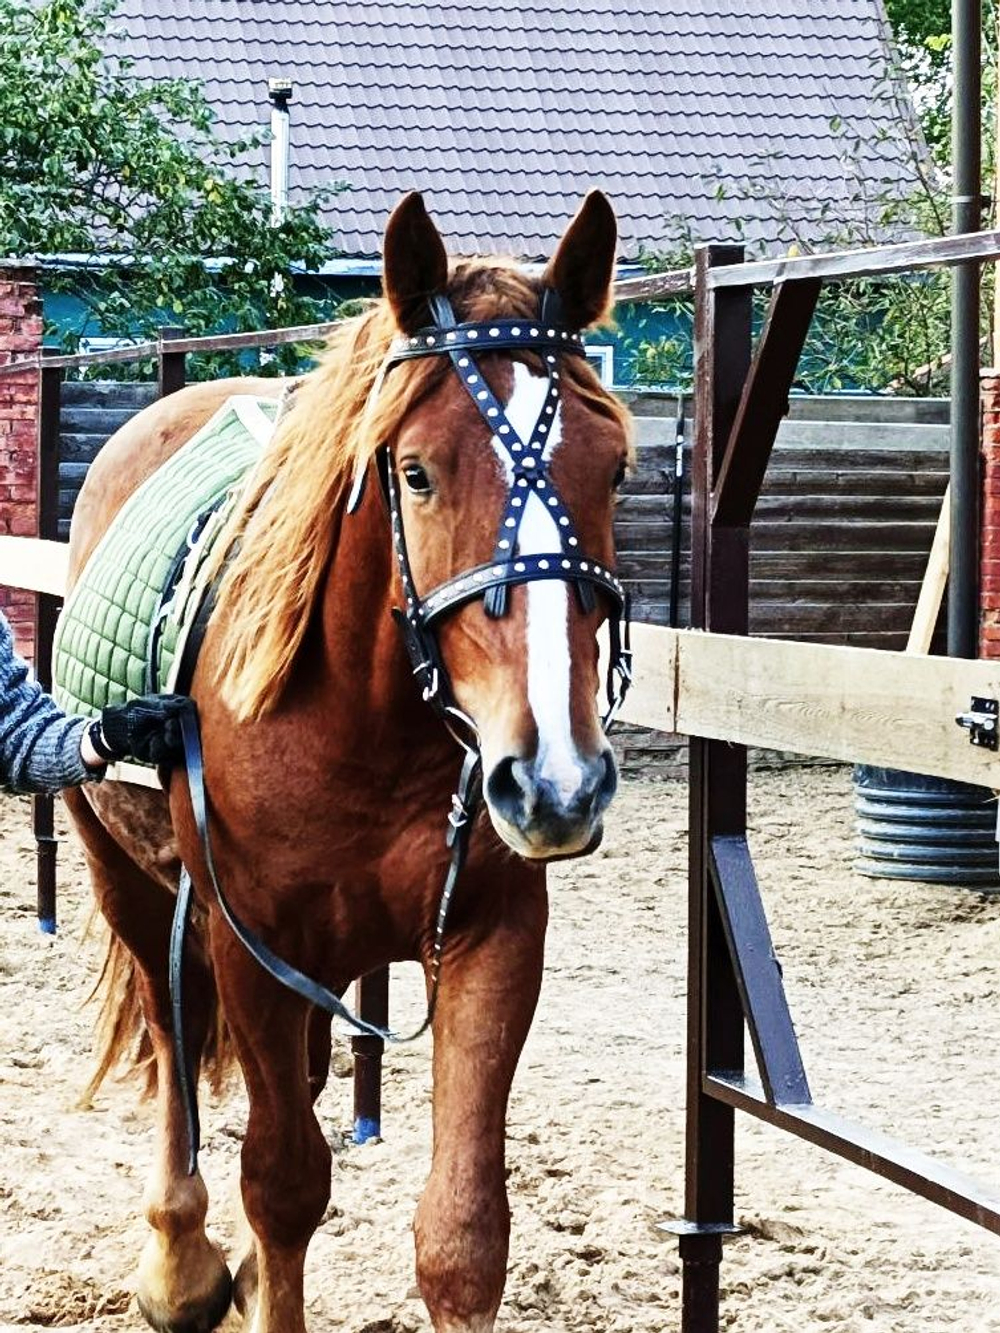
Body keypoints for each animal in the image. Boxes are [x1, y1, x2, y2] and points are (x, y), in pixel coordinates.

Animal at [60, 190, 633, 1333]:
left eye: (613, 468)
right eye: (415, 471)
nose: (557, 780)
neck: (361, 735)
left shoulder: (496, 939)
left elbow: (462, 1235)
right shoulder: (247, 946)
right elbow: (282, 1186)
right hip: (124, 882)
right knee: (175, 1045)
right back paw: (181, 1263)